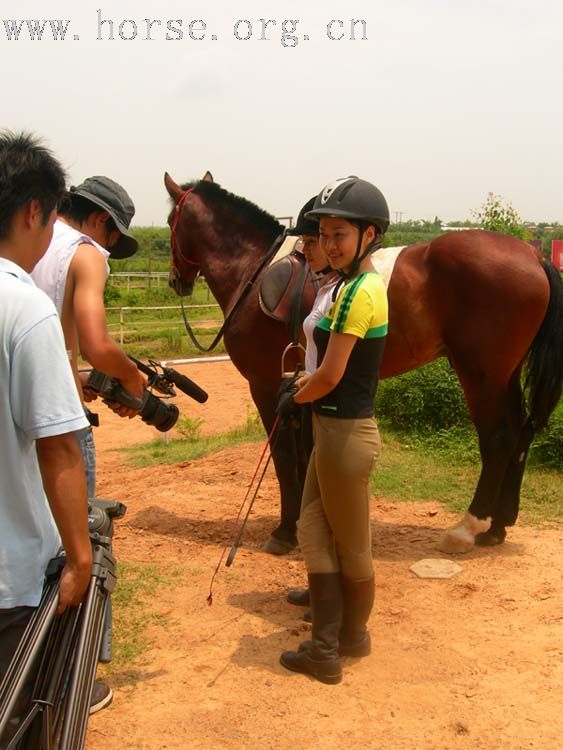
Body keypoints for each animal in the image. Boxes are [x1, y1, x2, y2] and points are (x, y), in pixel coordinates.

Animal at [165, 173, 563, 556]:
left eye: (170, 221)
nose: (175, 281)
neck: (255, 270)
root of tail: (533, 255)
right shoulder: (299, 385)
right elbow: (306, 457)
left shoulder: (265, 386)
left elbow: (284, 458)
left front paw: (285, 530)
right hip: (505, 375)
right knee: (521, 433)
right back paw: (498, 526)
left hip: (481, 376)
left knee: (499, 438)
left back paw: (467, 528)